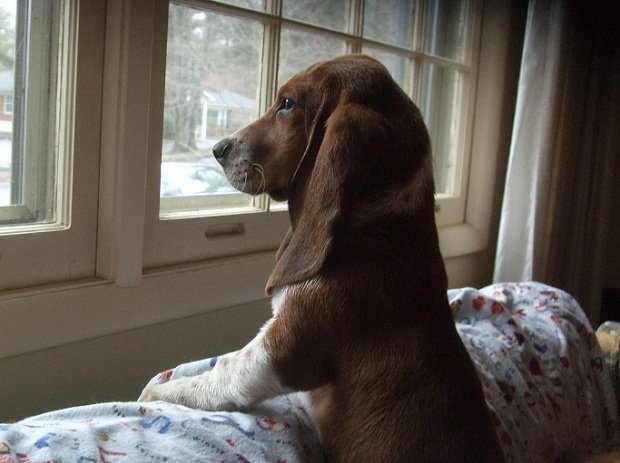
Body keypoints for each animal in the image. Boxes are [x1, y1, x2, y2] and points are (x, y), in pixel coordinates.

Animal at [143, 55, 506, 463]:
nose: (219, 148)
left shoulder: (277, 351)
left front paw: (159, 392)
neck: (377, 223)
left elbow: (224, 372)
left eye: (286, 104)